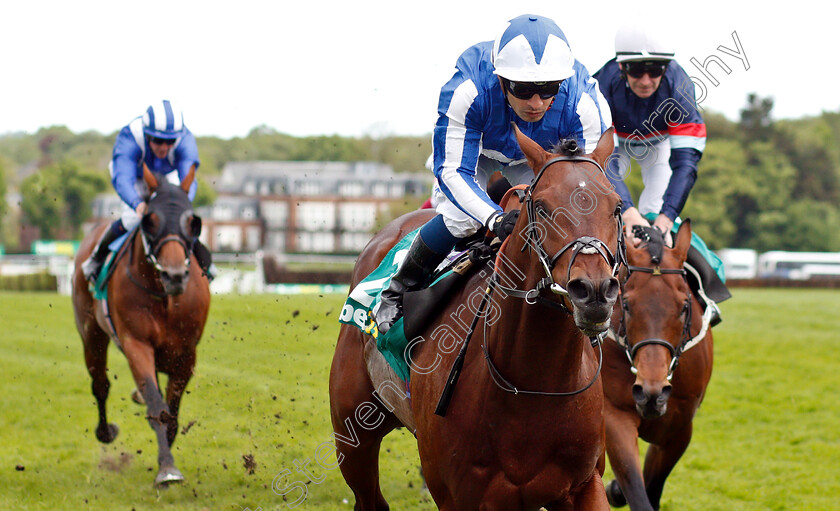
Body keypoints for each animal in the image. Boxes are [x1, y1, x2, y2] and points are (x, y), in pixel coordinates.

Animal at [71, 168, 210, 488]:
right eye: (151, 220)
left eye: (192, 222)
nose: (174, 275)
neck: (164, 298)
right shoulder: (136, 343)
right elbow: (157, 406)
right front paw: (167, 468)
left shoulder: (187, 353)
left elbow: (172, 409)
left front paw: (167, 449)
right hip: (92, 335)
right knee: (100, 384)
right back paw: (105, 431)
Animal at [328, 126, 624, 510]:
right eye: (543, 208)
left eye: (616, 207)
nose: (595, 291)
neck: (533, 384)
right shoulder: (457, 495)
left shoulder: (583, 484)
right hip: (352, 438)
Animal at [604, 221, 716, 511]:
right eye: (626, 304)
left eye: (684, 305)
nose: (651, 392)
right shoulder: (615, 417)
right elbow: (637, 490)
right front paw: (616, 489)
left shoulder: (678, 429)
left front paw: (615, 489)